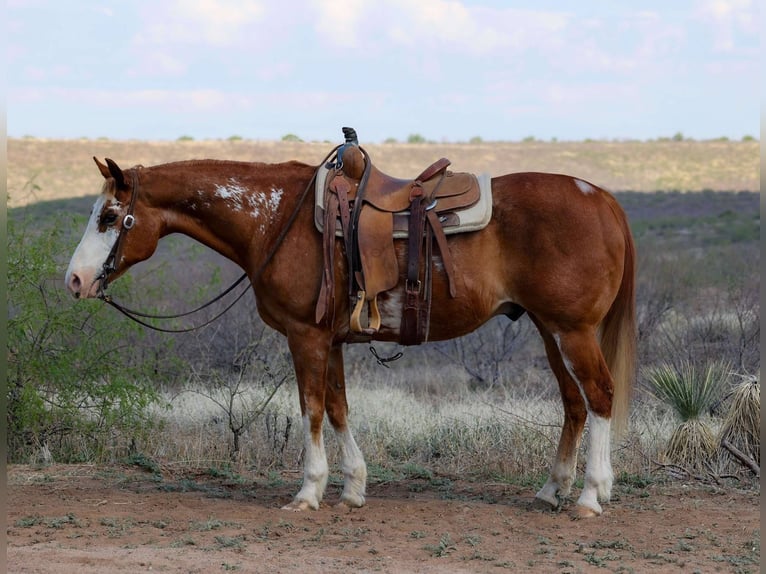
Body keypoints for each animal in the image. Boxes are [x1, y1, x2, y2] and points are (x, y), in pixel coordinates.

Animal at [65, 145, 636, 518]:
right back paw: (551, 490)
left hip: (573, 331)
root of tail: (602, 197)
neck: (276, 218)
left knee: (600, 397)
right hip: (550, 330)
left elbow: (312, 409)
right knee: (575, 404)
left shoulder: (305, 337)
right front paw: (354, 488)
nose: (75, 280)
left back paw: (590, 496)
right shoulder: (331, 340)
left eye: (110, 216)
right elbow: (339, 407)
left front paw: (308, 491)